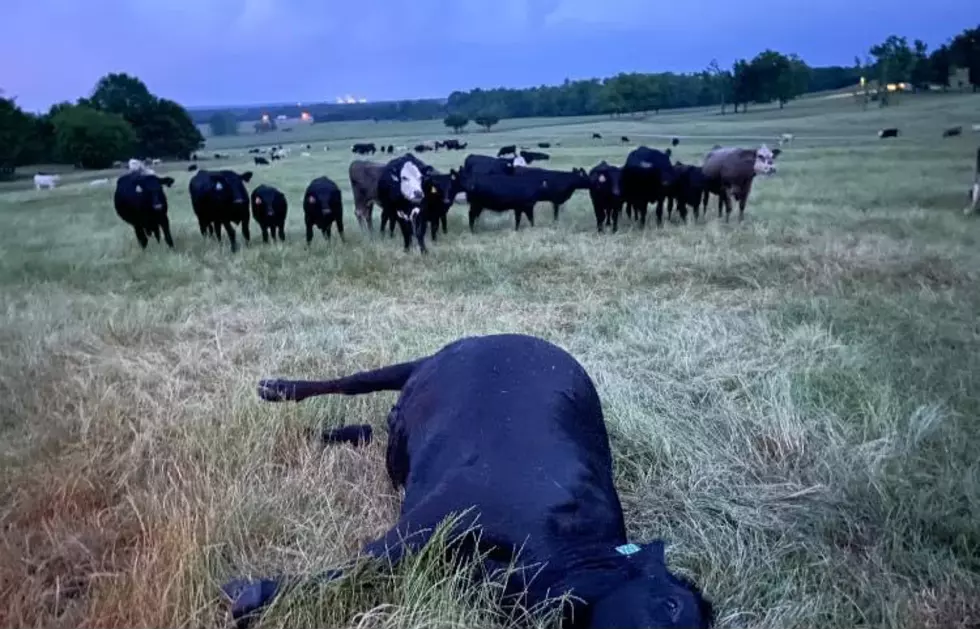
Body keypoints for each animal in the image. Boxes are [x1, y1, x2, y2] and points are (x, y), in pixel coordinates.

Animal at [220, 336, 712, 628]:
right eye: (670, 606)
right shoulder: (435, 519)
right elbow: (362, 564)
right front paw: (253, 595)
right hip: (416, 366)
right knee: (353, 382)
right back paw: (280, 388)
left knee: (376, 429)